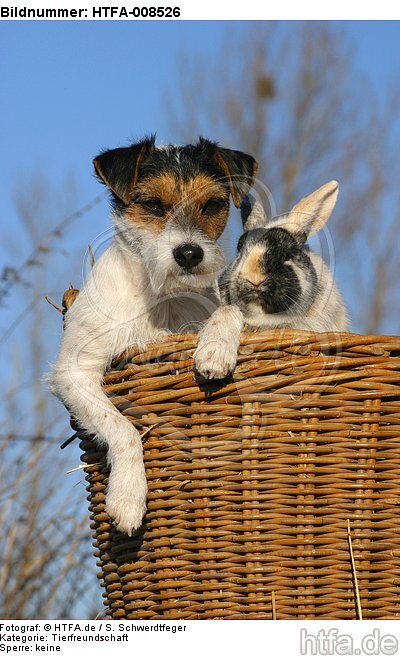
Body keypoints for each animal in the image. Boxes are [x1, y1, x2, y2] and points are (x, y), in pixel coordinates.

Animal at [49, 136, 256, 536]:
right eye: (153, 205)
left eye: (213, 205)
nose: (189, 253)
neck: (160, 299)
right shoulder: (74, 373)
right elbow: (123, 427)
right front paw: (128, 498)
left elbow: (229, 309)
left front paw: (215, 350)